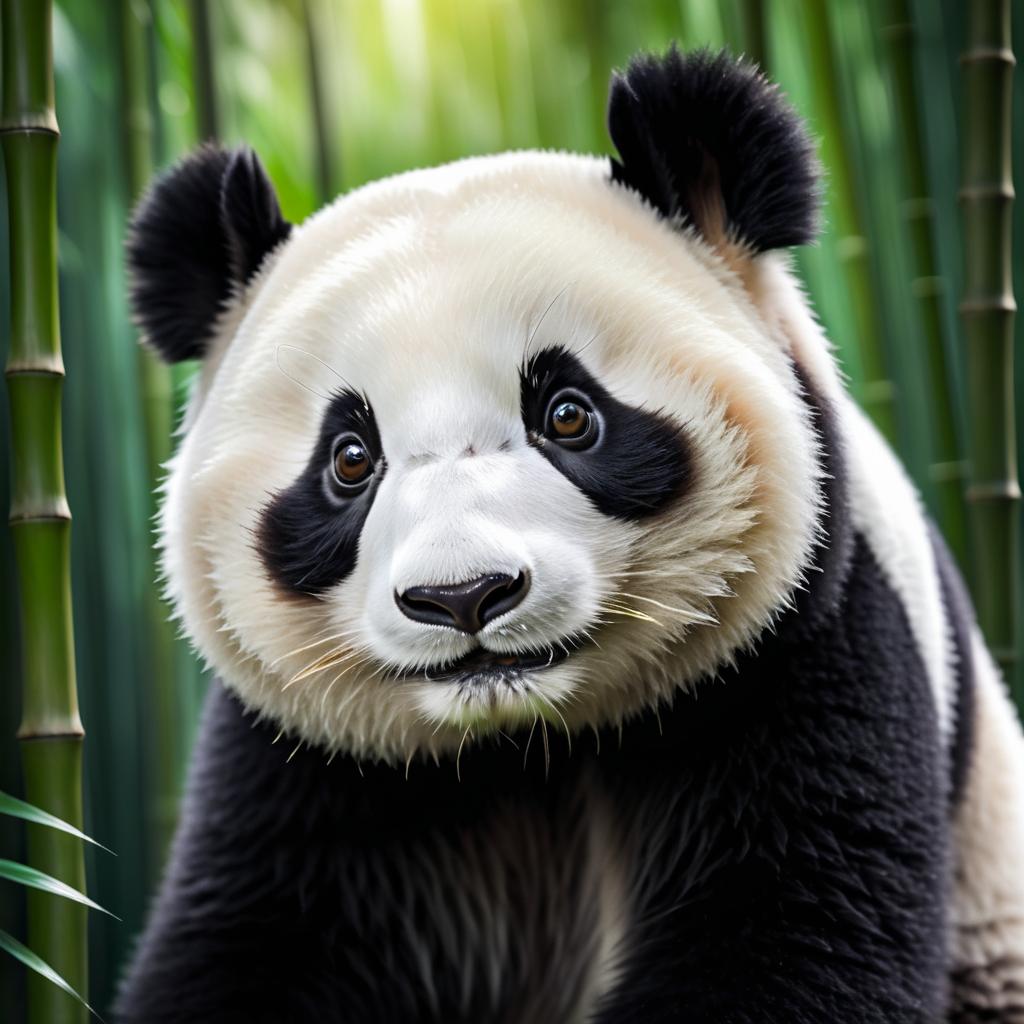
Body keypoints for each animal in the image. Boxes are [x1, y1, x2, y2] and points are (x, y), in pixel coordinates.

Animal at [114, 44, 1024, 1019]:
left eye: (568, 414)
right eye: (350, 458)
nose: (463, 596)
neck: (528, 745)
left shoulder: (801, 651)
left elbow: (801, 925)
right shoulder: (307, 769)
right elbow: (253, 941)